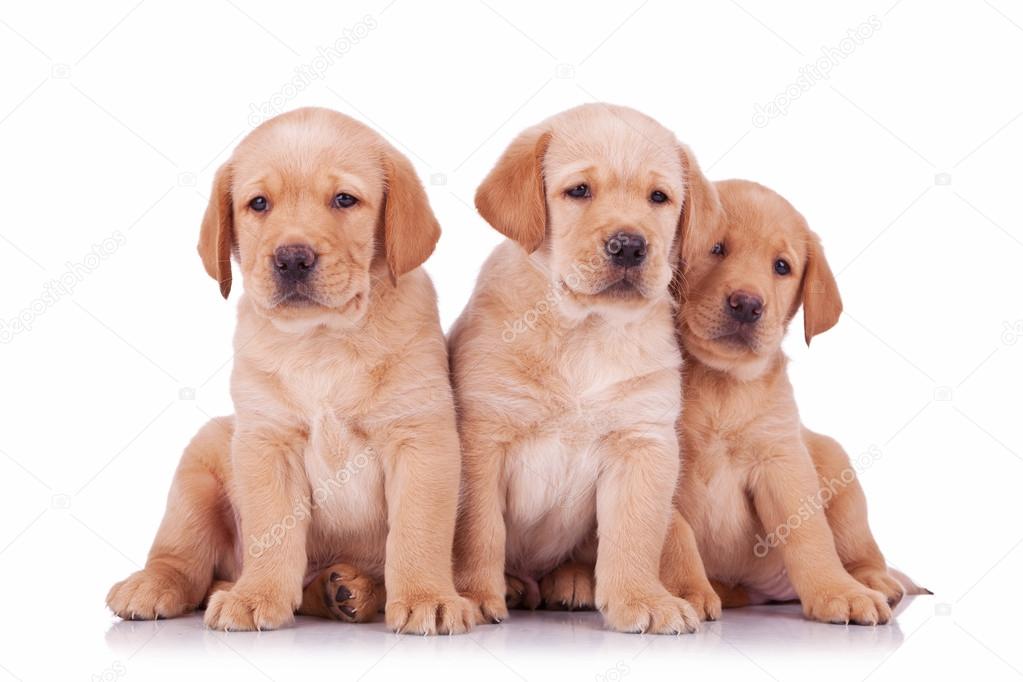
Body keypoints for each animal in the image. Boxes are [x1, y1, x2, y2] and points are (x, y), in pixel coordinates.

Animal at [105, 106, 472, 633]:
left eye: (344, 199)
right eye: (259, 203)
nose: (292, 258)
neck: (322, 340)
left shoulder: (421, 438)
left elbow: (417, 530)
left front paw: (428, 597)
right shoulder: (265, 441)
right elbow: (272, 530)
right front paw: (255, 596)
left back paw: (351, 590)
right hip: (200, 467)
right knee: (181, 558)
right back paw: (156, 584)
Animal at [452, 102, 716, 633]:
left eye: (659, 197)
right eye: (579, 191)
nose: (629, 246)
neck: (586, 330)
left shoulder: (643, 443)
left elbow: (634, 536)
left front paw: (641, 598)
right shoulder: (482, 438)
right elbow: (480, 529)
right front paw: (475, 594)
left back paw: (571, 581)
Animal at [662, 177, 928, 625]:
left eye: (782, 267)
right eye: (716, 248)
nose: (747, 304)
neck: (721, 383)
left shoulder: (782, 461)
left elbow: (809, 534)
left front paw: (836, 591)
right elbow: (674, 534)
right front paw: (684, 592)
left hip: (837, 467)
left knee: (862, 552)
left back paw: (874, 581)